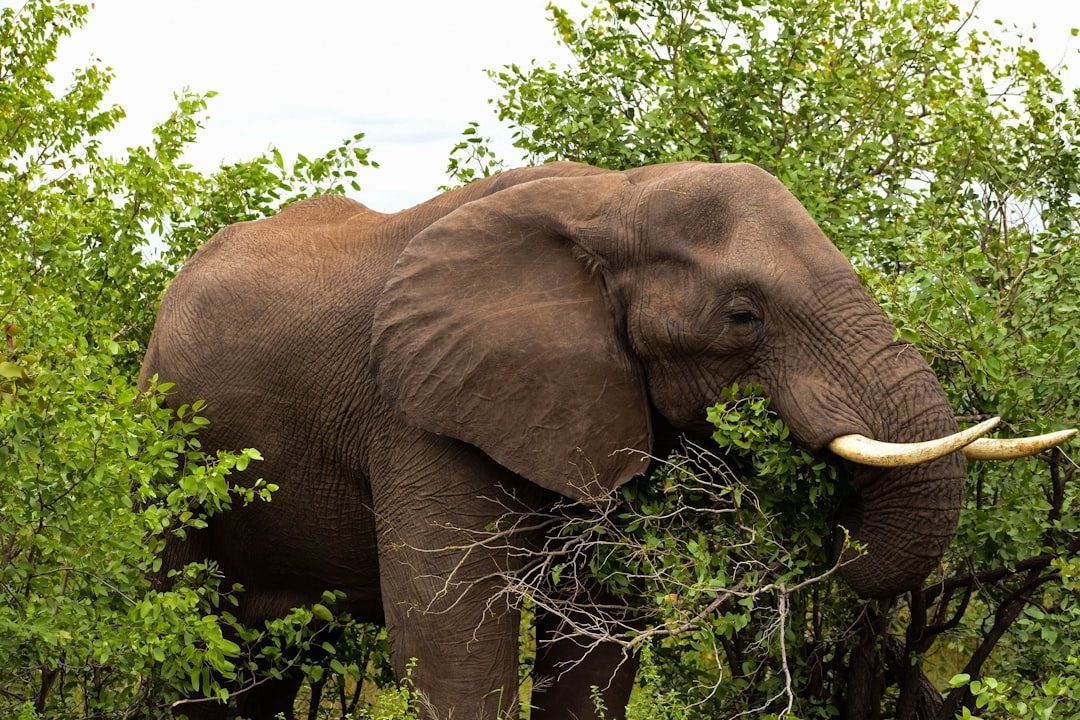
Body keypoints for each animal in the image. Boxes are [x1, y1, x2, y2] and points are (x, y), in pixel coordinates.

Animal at [140, 160, 1072, 719]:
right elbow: (450, 640)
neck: (610, 198)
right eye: (742, 317)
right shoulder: (412, 408)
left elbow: (600, 632)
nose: (836, 530)